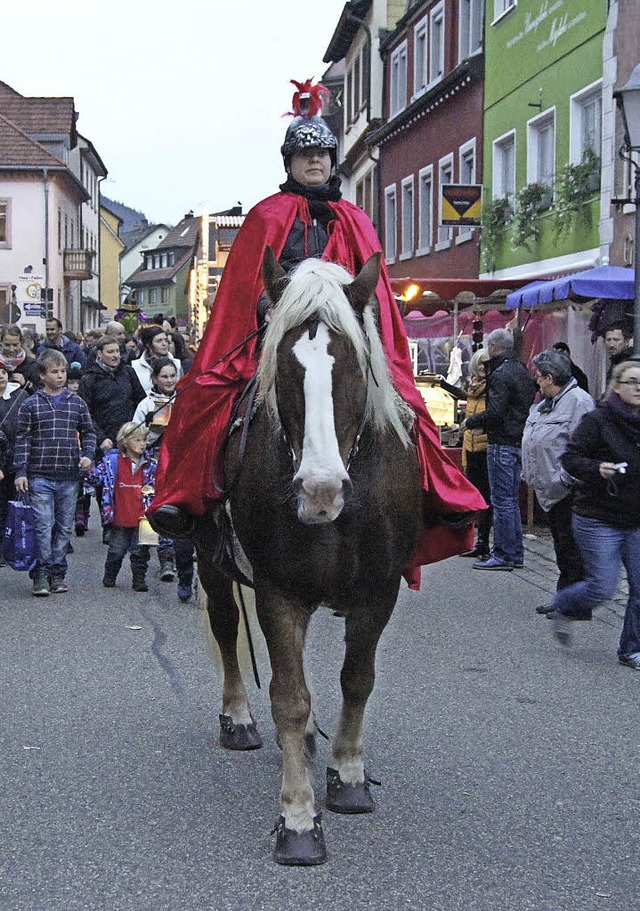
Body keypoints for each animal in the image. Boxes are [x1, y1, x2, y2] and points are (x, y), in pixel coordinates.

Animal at [196, 246, 424, 864]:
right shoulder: (280, 590)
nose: (321, 491)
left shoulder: (378, 591)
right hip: (206, 554)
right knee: (226, 625)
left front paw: (348, 775)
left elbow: (357, 679)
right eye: (285, 366)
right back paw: (238, 718)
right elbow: (289, 698)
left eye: (352, 365)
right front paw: (298, 819)